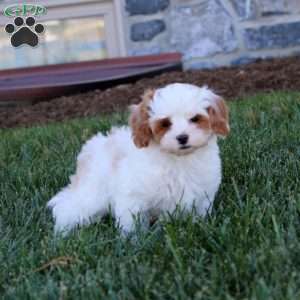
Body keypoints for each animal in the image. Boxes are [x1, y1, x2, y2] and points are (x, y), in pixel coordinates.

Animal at [47, 83, 230, 236]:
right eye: (165, 123)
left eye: (195, 119)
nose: (182, 137)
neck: (178, 159)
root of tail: (94, 146)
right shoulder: (132, 196)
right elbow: (131, 223)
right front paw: (133, 241)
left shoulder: (202, 196)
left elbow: (198, 214)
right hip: (93, 195)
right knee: (68, 206)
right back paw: (63, 232)